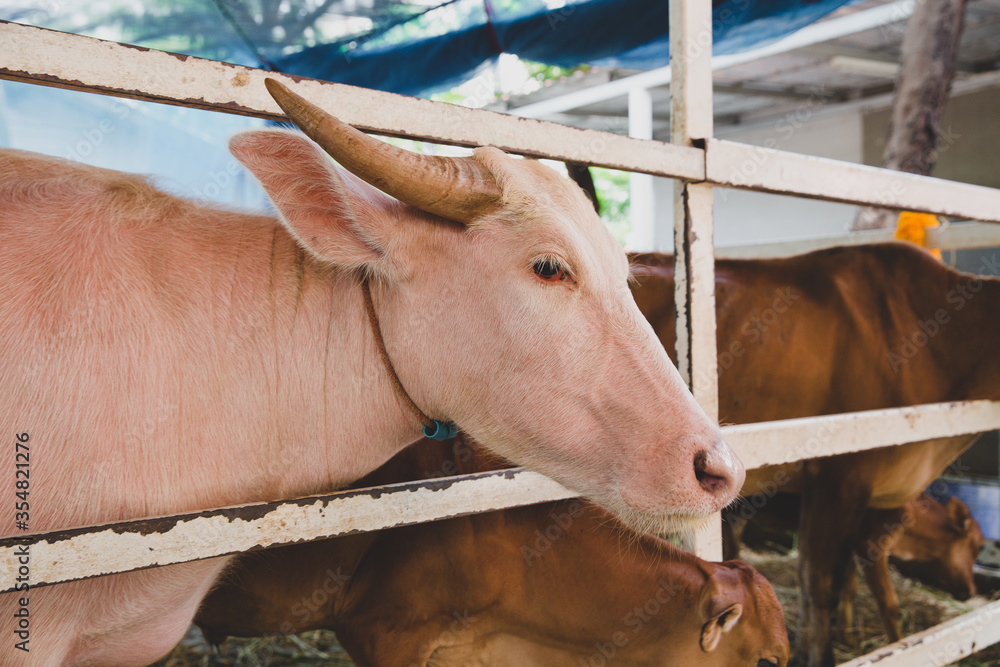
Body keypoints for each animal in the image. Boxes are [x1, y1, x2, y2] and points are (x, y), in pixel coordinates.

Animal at [632, 247, 1000, 667]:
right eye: (976, 547)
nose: (970, 590)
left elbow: (837, 578)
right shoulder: (839, 476)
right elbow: (818, 581)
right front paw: (820, 654)